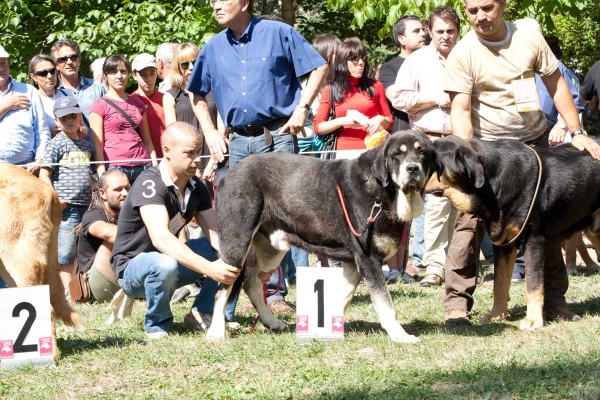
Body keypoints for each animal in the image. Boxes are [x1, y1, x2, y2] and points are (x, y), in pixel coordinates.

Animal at [209, 132, 438, 344]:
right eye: (397, 154)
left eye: (422, 152)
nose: (412, 169)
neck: (382, 192)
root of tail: (229, 175)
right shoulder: (369, 260)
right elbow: (386, 303)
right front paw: (400, 335)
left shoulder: (353, 263)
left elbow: (342, 297)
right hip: (237, 245)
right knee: (221, 290)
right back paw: (216, 331)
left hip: (272, 251)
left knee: (252, 285)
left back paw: (272, 321)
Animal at [424, 136, 600, 330]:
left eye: (433, 158)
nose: (410, 169)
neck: (492, 186)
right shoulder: (503, 244)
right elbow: (499, 284)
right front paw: (496, 315)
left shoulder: (533, 241)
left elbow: (533, 285)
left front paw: (533, 320)